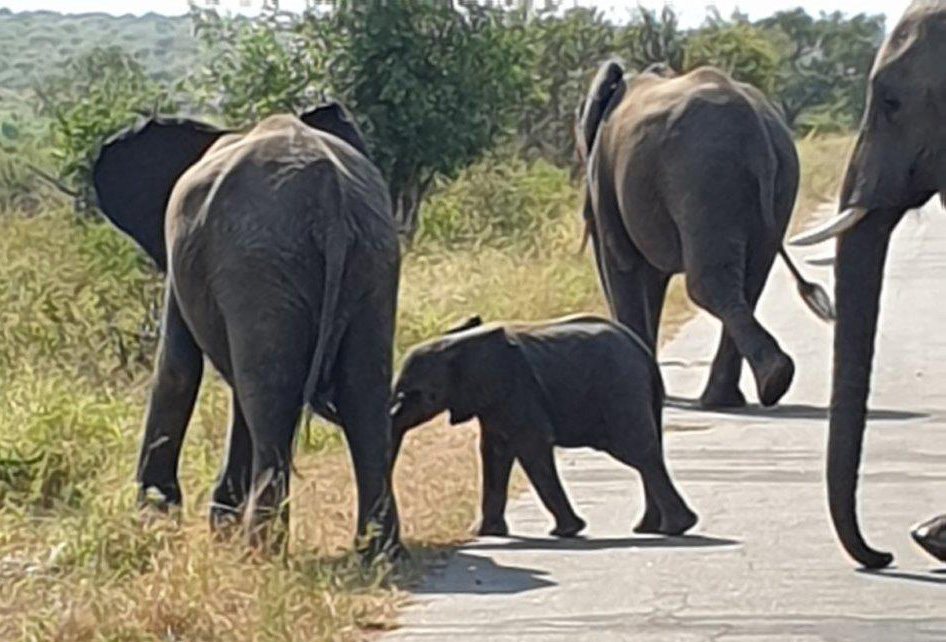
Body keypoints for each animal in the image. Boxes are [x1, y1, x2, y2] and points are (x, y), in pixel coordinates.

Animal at [92, 104, 401, 553]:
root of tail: (328, 196)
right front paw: (215, 522)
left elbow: (176, 369)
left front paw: (156, 516)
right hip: (372, 253)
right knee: (361, 392)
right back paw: (380, 553)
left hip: (258, 263)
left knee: (271, 397)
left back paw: (261, 551)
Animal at [390, 315, 697, 538]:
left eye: (416, 394)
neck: (456, 343)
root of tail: (642, 350)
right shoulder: (494, 400)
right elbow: (494, 453)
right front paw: (485, 533)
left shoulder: (517, 389)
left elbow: (531, 448)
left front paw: (566, 532)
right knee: (646, 453)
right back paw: (649, 528)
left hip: (621, 389)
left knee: (638, 452)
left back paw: (676, 528)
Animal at [576, 61, 833, 410]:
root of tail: (757, 130)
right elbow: (650, 281)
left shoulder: (605, 182)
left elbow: (623, 266)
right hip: (776, 181)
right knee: (749, 284)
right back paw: (751, 389)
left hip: (704, 174)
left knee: (707, 285)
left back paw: (761, 384)